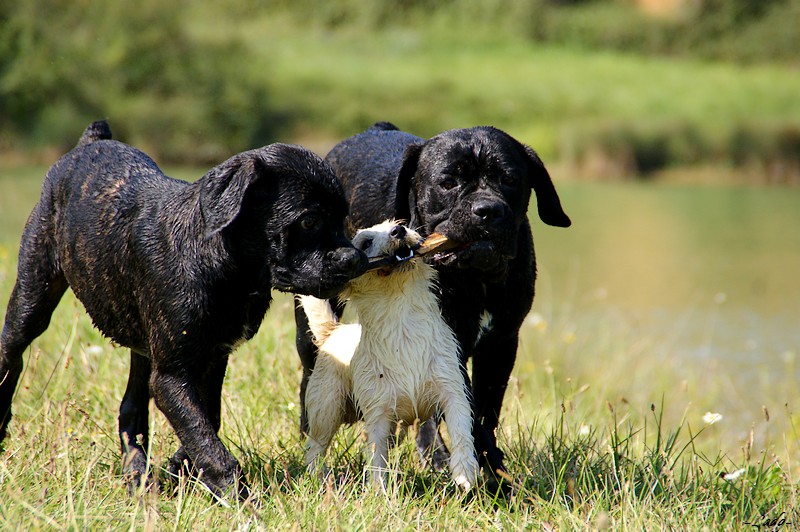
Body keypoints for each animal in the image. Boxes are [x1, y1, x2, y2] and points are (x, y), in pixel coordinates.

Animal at [0, 119, 368, 498]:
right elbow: (202, 432)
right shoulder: (173, 375)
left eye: (344, 218)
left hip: (145, 347)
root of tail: (91, 141)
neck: (228, 268)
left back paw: (137, 476)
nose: (355, 259)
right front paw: (238, 496)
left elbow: (205, 420)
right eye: (309, 221)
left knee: (131, 409)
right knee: (10, 358)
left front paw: (181, 469)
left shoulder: (211, 358)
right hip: (33, 294)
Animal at [298, 219, 476, 490]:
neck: (403, 320)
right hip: (326, 408)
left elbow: (460, 431)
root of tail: (333, 332)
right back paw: (320, 479)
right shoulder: (378, 414)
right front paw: (379, 491)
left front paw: (464, 473)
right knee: (315, 447)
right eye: (365, 243)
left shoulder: (452, 392)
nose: (398, 231)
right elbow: (376, 456)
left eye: (400, 223)